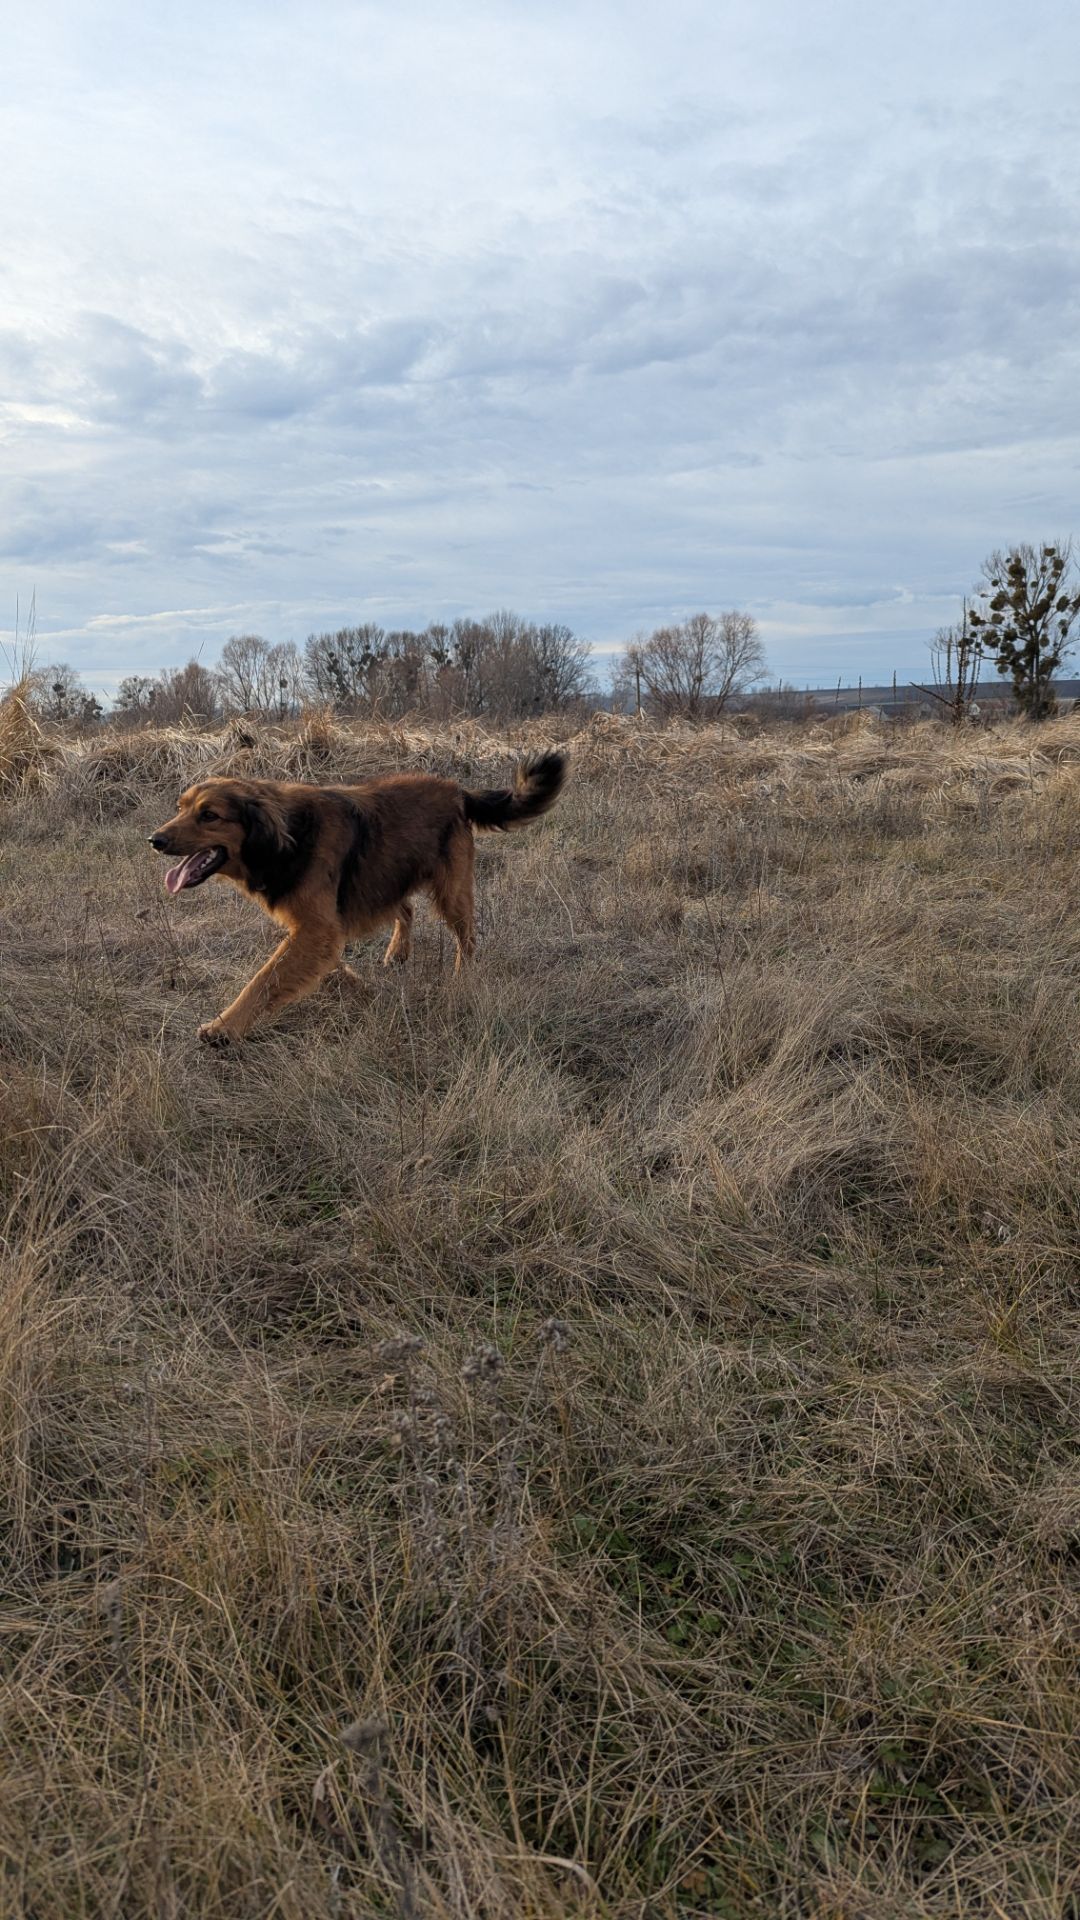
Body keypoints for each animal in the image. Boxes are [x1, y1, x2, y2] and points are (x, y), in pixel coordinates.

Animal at [148, 752, 564, 1052]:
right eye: (180, 807)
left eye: (209, 815)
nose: (155, 840)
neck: (287, 838)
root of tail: (457, 790)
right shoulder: (319, 929)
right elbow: (318, 964)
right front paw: (357, 986)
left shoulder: (316, 927)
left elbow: (264, 979)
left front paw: (224, 1027)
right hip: (383, 875)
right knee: (406, 908)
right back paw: (397, 953)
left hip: (451, 892)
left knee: (467, 938)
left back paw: (463, 976)